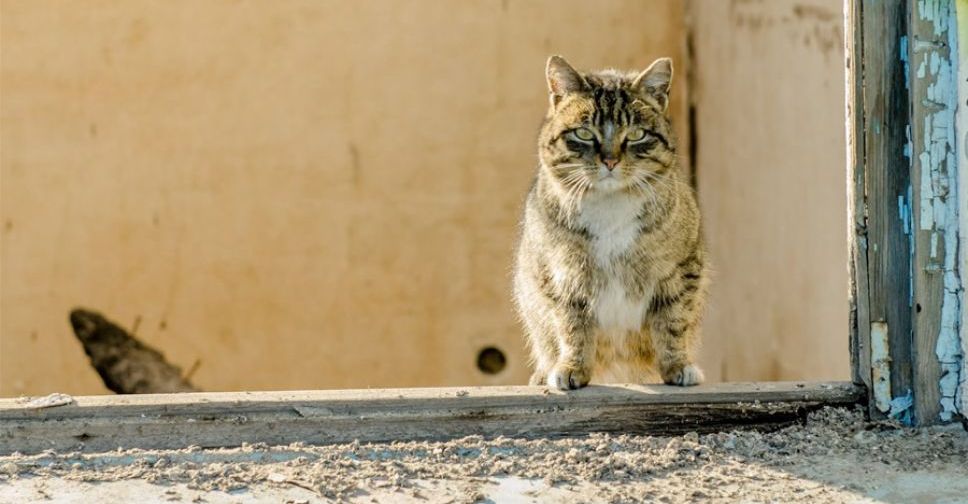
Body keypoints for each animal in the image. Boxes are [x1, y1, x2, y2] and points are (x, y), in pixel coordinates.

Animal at [510, 57, 708, 392]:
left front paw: (678, 366)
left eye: (638, 134)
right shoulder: (561, 276)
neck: (611, 204)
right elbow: (572, 327)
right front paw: (572, 368)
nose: (610, 160)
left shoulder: (681, 270)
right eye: (584, 133)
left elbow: (673, 322)